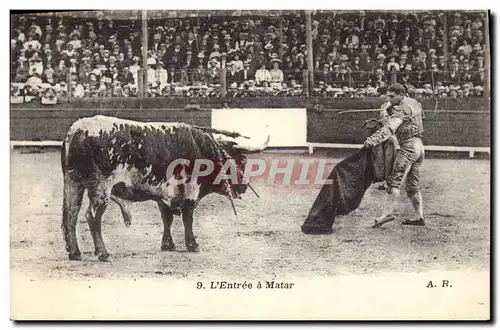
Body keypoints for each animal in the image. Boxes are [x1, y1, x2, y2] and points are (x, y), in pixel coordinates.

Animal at [60, 114, 270, 262]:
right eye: (242, 160)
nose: (243, 187)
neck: (202, 150)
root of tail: (78, 129)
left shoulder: (164, 193)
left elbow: (166, 218)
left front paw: (168, 244)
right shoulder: (190, 190)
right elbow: (188, 218)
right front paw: (192, 244)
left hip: (73, 183)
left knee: (71, 215)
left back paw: (75, 253)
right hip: (101, 188)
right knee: (92, 217)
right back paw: (103, 253)